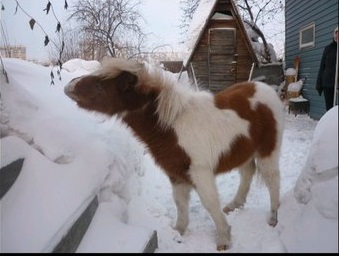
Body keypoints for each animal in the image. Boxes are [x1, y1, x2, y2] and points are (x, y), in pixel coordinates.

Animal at [63, 57, 284, 250]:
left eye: (100, 86)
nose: (68, 86)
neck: (171, 127)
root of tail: (265, 89)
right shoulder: (176, 174)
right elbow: (180, 202)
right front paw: (178, 231)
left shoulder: (199, 173)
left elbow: (210, 203)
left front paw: (223, 239)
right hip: (243, 151)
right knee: (247, 173)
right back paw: (234, 205)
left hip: (268, 151)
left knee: (272, 179)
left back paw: (273, 218)